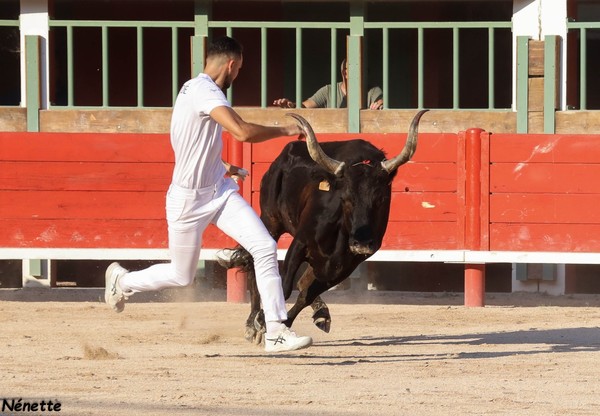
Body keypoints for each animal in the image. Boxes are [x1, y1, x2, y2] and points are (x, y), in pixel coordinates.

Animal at [224, 109, 426, 342]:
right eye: (345, 198)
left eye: (381, 199)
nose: (361, 244)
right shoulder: (300, 242)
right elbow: (285, 287)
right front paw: (264, 322)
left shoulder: (345, 265)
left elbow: (305, 293)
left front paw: (284, 324)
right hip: (270, 220)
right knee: (255, 262)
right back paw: (251, 324)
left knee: (303, 283)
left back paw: (320, 313)